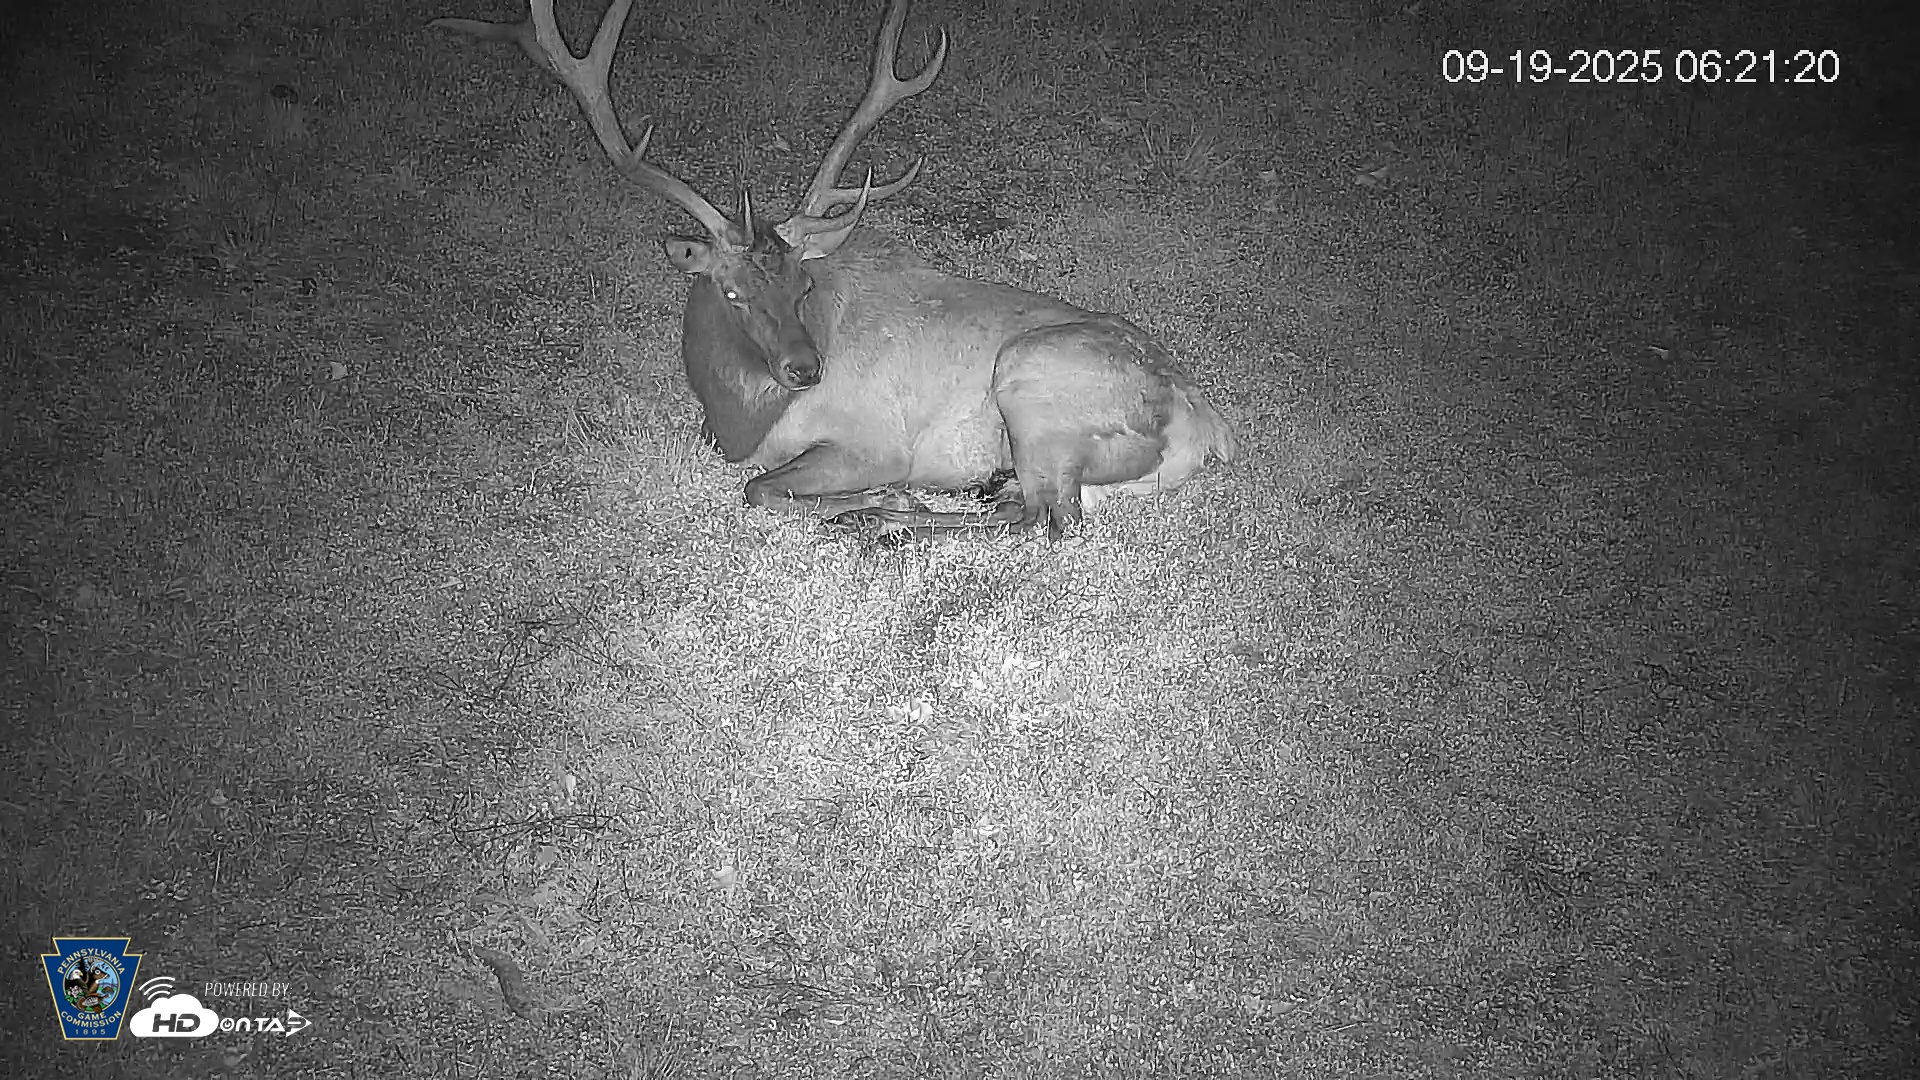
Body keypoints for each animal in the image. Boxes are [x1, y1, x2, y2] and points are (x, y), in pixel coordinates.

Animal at [432, 0, 1237, 539]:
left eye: (804, 283)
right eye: (732, 289)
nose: (806, 370)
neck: (739, 417)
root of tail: (1208, 428)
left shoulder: (874, 441)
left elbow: (760, 492)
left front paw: (881, 500)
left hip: (1033, 379)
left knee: (1050, 520)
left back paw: (892, 523)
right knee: (1036, 510)